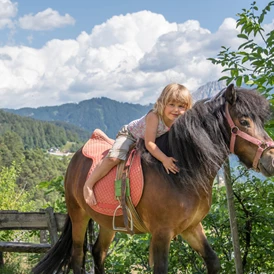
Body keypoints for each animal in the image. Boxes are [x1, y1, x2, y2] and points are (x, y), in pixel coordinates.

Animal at [33, 84, 274, 272]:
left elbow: (213, 261)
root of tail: (76, 157)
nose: (271, 159)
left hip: (108, 223)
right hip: (78, 215)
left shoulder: (191, 227)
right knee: (77, 257)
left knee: (98, 252)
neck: (180, 176)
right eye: (244, 121)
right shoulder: (161, 234)